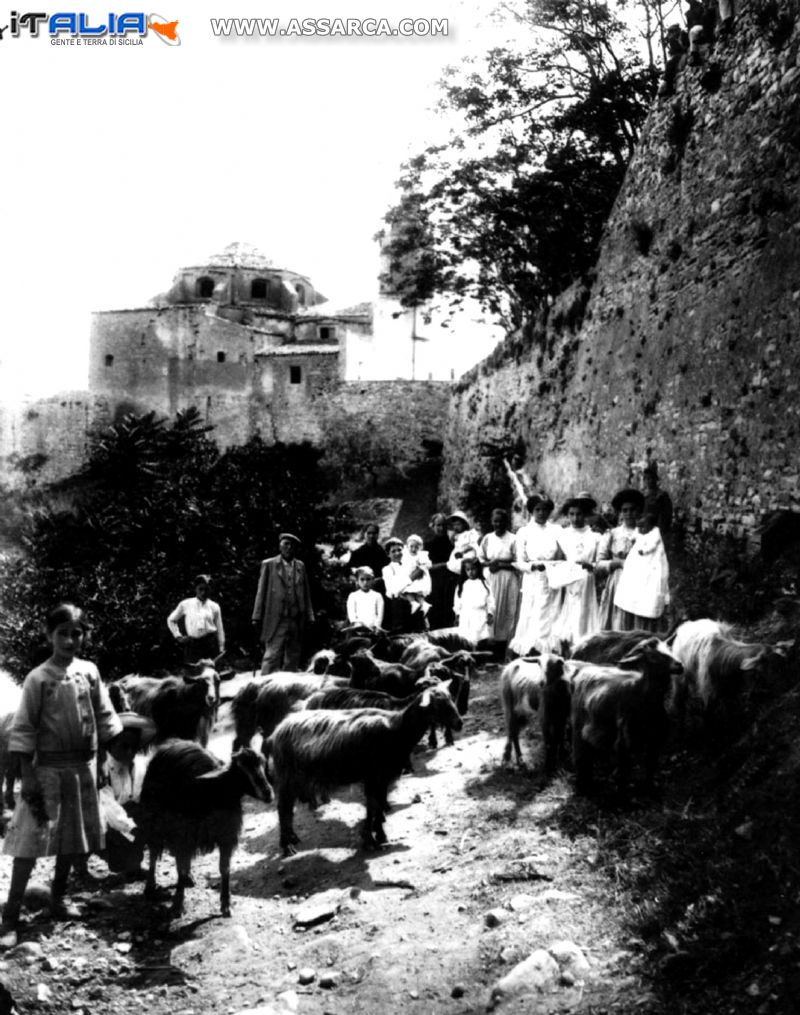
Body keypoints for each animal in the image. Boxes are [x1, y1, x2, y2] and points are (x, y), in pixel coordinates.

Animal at [140, 738, 272, 921]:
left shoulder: (226, 836)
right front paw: (177, 905)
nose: (268, 793)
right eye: (240, 771)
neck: (213, 791)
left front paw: (226, 905)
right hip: (153, 822)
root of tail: (172, 743)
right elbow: (179, 868)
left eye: (263, 764)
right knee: (153, 853)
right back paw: (150, 886)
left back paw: (189, 878)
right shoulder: (183, 835)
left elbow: (224, 868)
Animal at [272, 682, 464, 856]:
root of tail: (280, 728)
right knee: (283, 809)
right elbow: (373, 806)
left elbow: (377, 805)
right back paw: (287, 846)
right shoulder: (372, 775)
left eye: (451, 698)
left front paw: (378, 834)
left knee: (289, 809)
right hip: (287, 775)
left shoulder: (382, 776)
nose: (459, 723)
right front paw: (371, 839)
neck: (398, 730)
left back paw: (293, 837)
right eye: (438, 704)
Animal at [568, 637, 682, 795]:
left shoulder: (655, 740)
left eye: (669, 649)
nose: (680, 665)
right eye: (653, 656)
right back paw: (584, 785)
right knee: (581, 756)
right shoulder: (624, 741)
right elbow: (624, 770)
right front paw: (622, 795)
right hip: (579, 725)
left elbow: (651, 766)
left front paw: (650, 789)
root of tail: (585, 668)